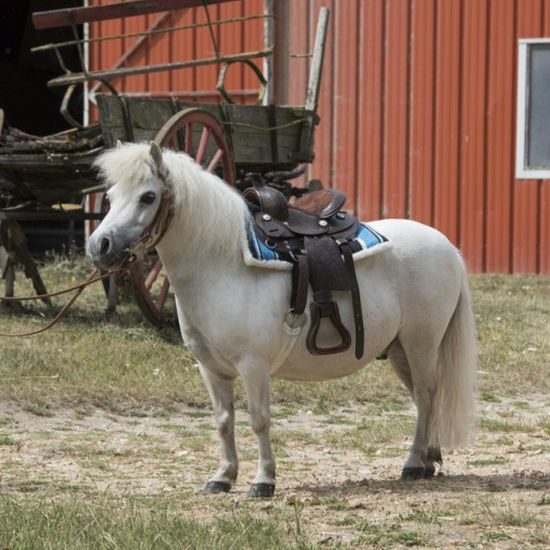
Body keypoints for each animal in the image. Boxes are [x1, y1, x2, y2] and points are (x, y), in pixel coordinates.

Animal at [88, 142, 476, 500]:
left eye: (148, 196)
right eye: (109, 196)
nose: (99, 245)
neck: (223, 265)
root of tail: (447, 246)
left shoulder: (253, 365)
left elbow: (259, 419)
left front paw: (263, 481)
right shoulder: (211, 369)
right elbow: (223, 421)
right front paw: (222, 477)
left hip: (421, 342)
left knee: (425, 394)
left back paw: (413, 464)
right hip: (399, 350)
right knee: (423, 398)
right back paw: (429, 458)